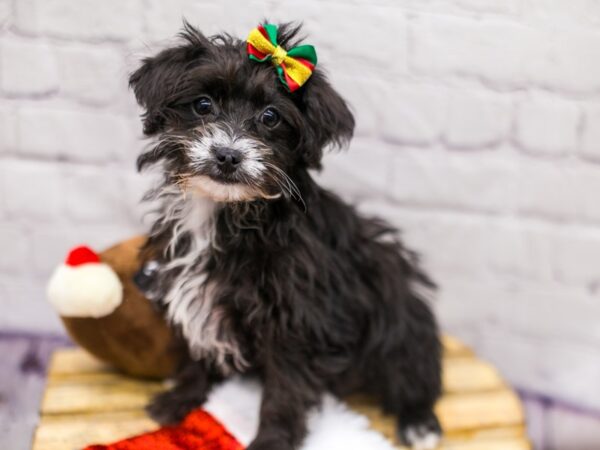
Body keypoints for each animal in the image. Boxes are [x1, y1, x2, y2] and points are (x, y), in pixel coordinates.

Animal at [129, 22, 442, 450]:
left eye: (270, 117)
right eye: (203, 105)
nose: (227, 155)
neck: (228, 212)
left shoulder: (297, 318)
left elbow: (284, 390)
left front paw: (271, 440)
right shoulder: (198, 292)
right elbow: (198, 354)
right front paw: (180, 399)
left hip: (394, 303)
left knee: (410, 367)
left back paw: (419, 422)